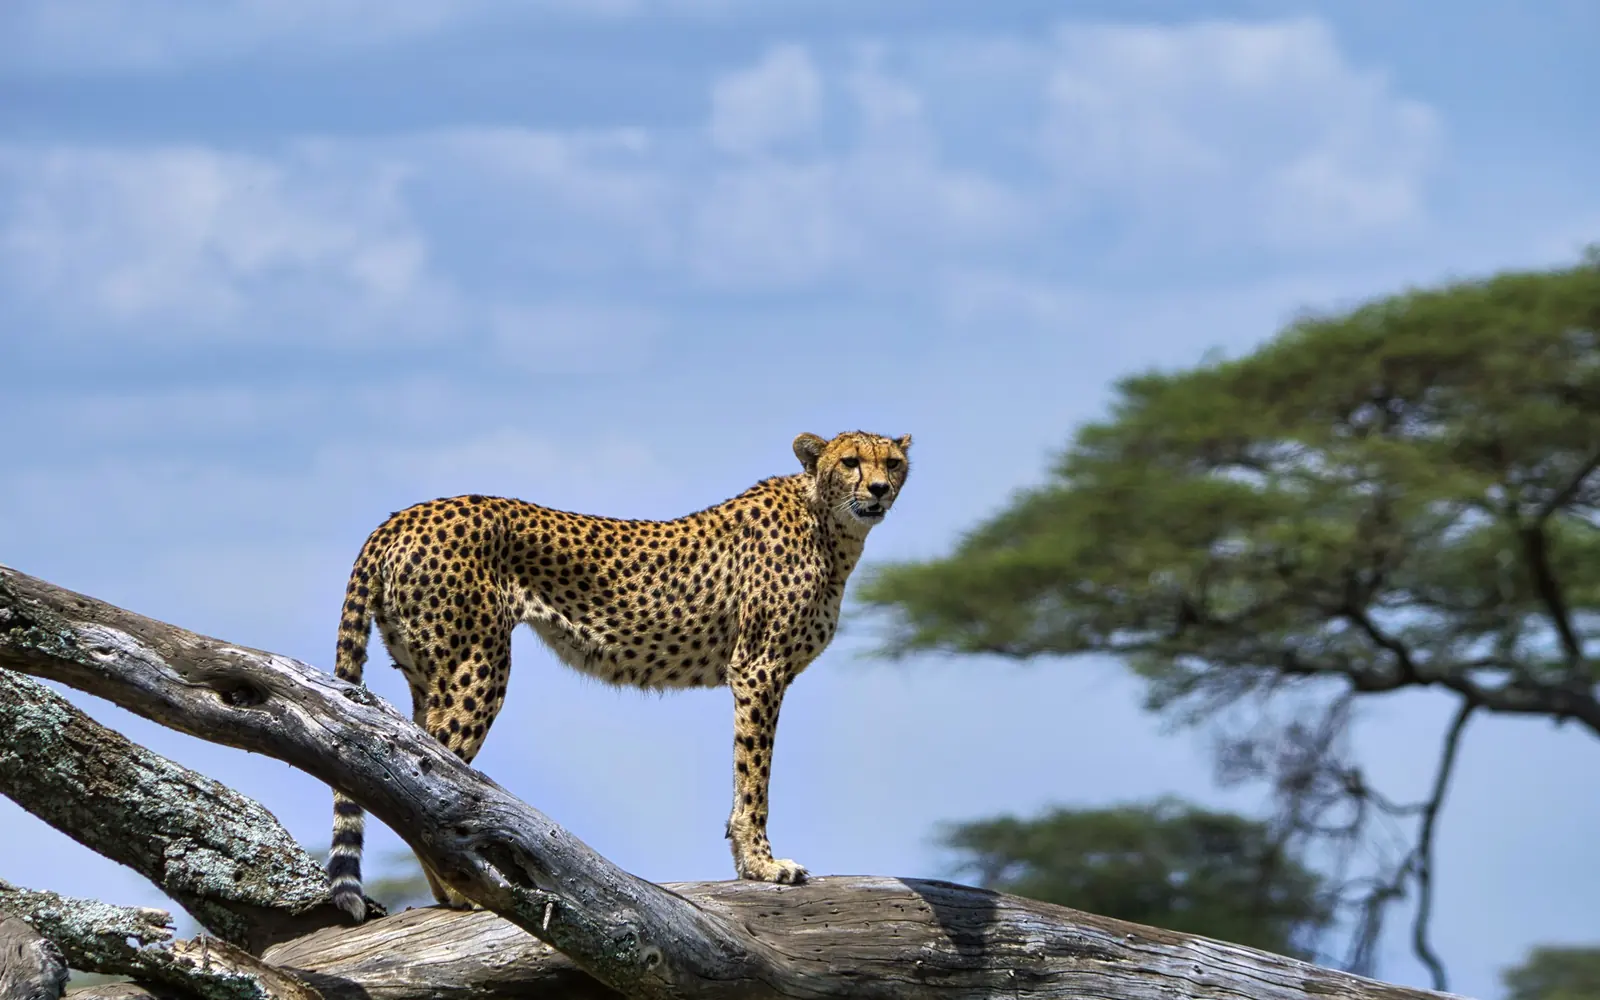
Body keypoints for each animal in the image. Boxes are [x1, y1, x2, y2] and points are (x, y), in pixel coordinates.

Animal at [325, 429, 912, 921]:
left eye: (894, 462)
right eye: (851, 461)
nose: (880, 490)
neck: (830, 525)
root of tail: (403, 516)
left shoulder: (760, 673)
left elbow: (744, 777)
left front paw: (750, 864)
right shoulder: (758, 670)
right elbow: (754, 777)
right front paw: (764, 867)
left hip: (428, 675)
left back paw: (450, 892)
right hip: (477, 667)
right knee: (424, 778)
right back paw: (461, 893)